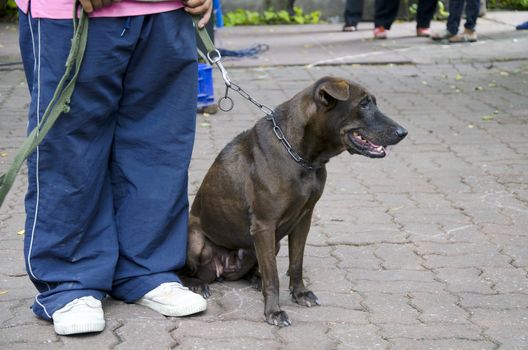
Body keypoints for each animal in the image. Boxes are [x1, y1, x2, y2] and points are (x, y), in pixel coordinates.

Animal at [184, 76, 406, 326]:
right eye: (364, 104)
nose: (403, 132)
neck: (302, 156)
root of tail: (219, 271)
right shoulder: (264, 226)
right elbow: (273, 277)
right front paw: (273, 311)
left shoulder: (303, 218)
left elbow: (296, 263)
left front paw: (299, 294)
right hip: (194, 238)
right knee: (184, 270)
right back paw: (196, 284)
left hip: (271, 243)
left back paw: (255, 278)